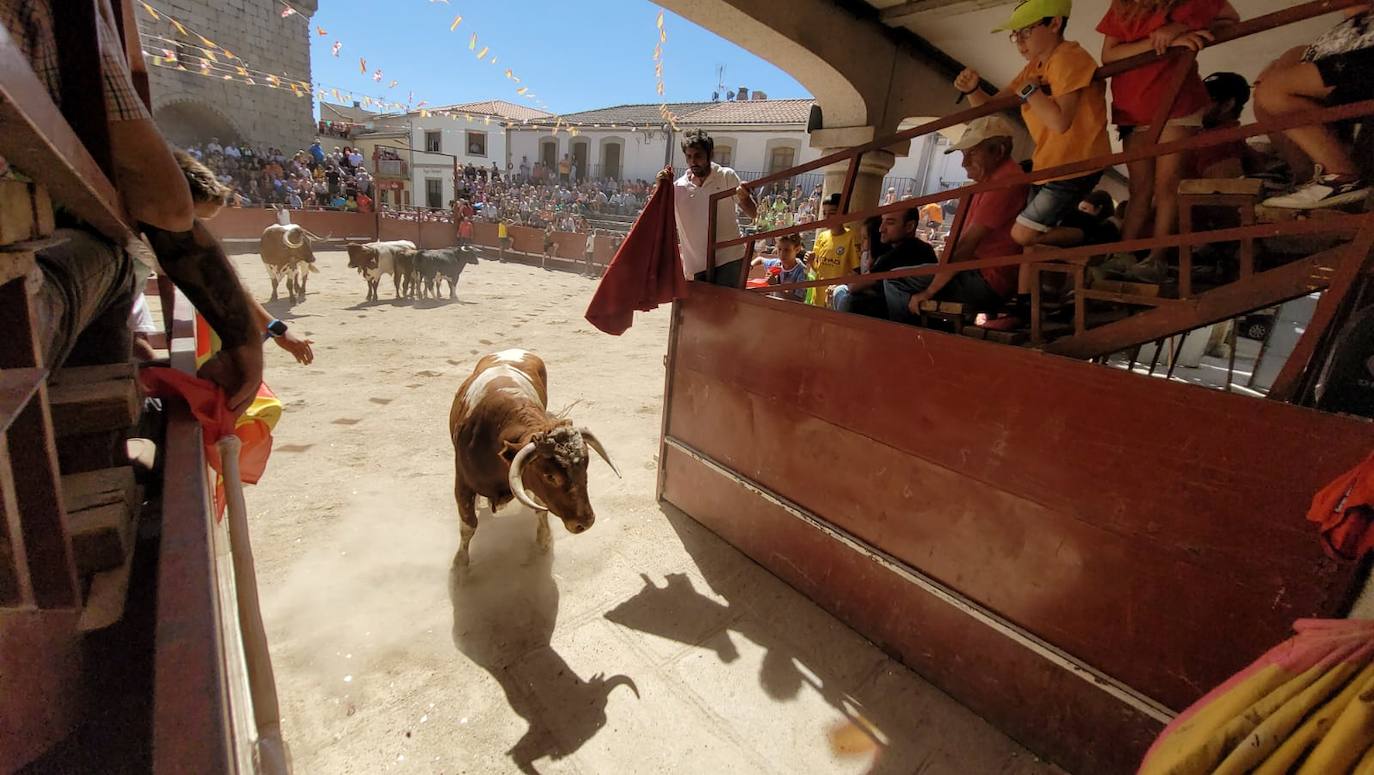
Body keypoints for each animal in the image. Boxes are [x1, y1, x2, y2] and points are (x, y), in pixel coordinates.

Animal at [447, 349, 621, 563]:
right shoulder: (462, 485)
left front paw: (544, 540)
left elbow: (540, 509)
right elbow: (468, 525)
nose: (586, 522)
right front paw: (461, 562)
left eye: (585, 468)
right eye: (550, 476)